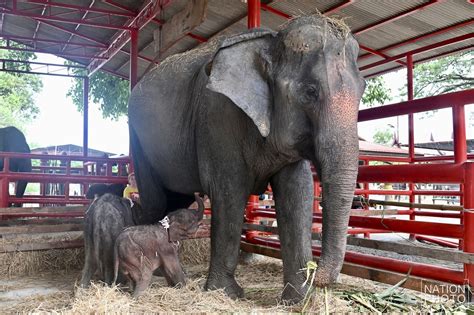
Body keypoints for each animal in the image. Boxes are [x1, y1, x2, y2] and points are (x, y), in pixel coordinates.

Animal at [128, 14, 364, 304]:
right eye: (310, 91)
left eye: (363, 90)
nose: (318, 276)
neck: (270, 40)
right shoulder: (217, 116)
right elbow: (229, 191)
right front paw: (225, 293)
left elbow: (298, 192)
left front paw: (298, 300)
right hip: (138, 141)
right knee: (155, 202)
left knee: (174, 200)